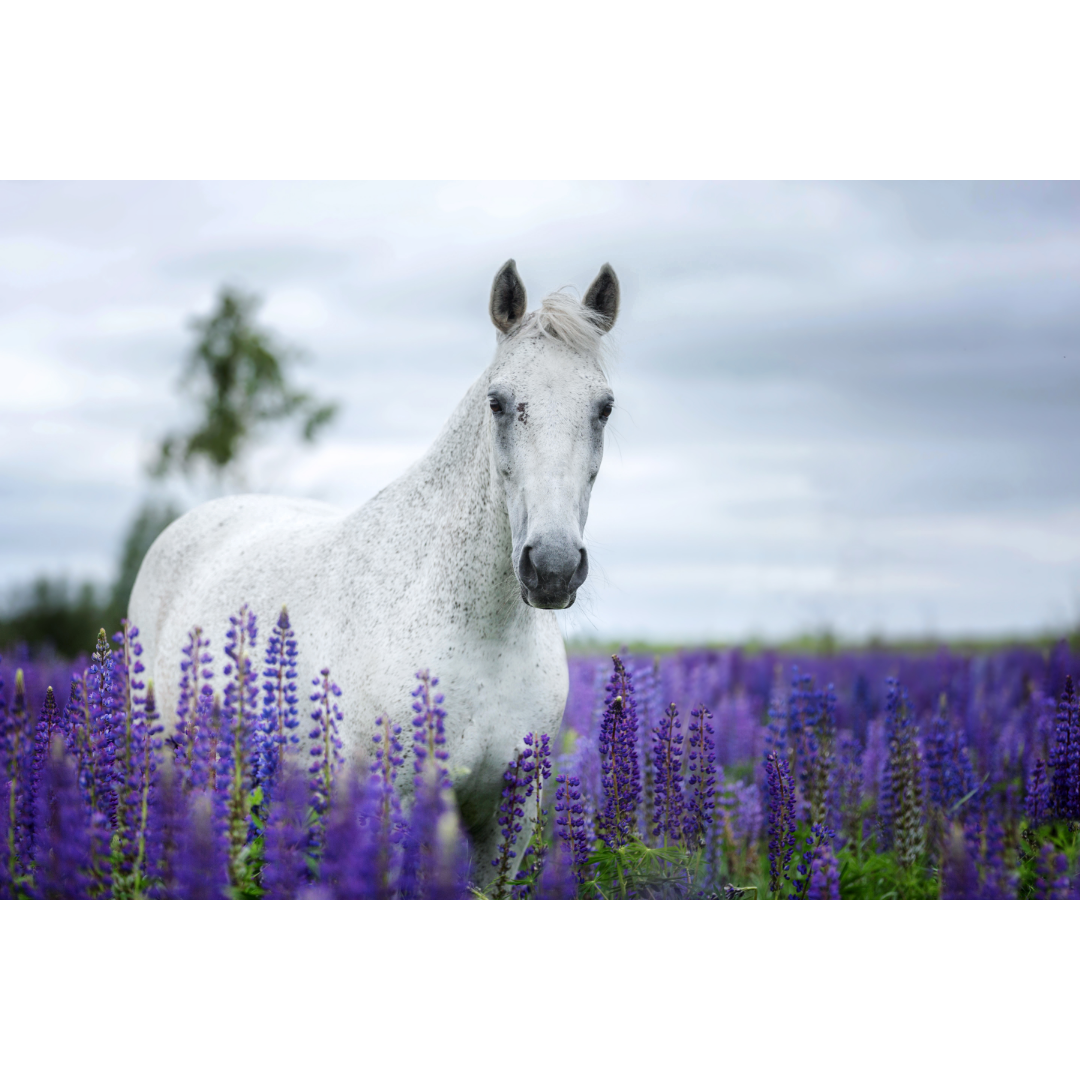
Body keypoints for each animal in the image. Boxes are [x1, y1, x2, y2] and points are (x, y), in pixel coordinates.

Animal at [128, 261, 617, 876]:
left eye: (604, 407)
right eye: (498, 403)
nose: (552, 567)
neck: (485, 636)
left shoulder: (511, 815)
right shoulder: (397, 805)